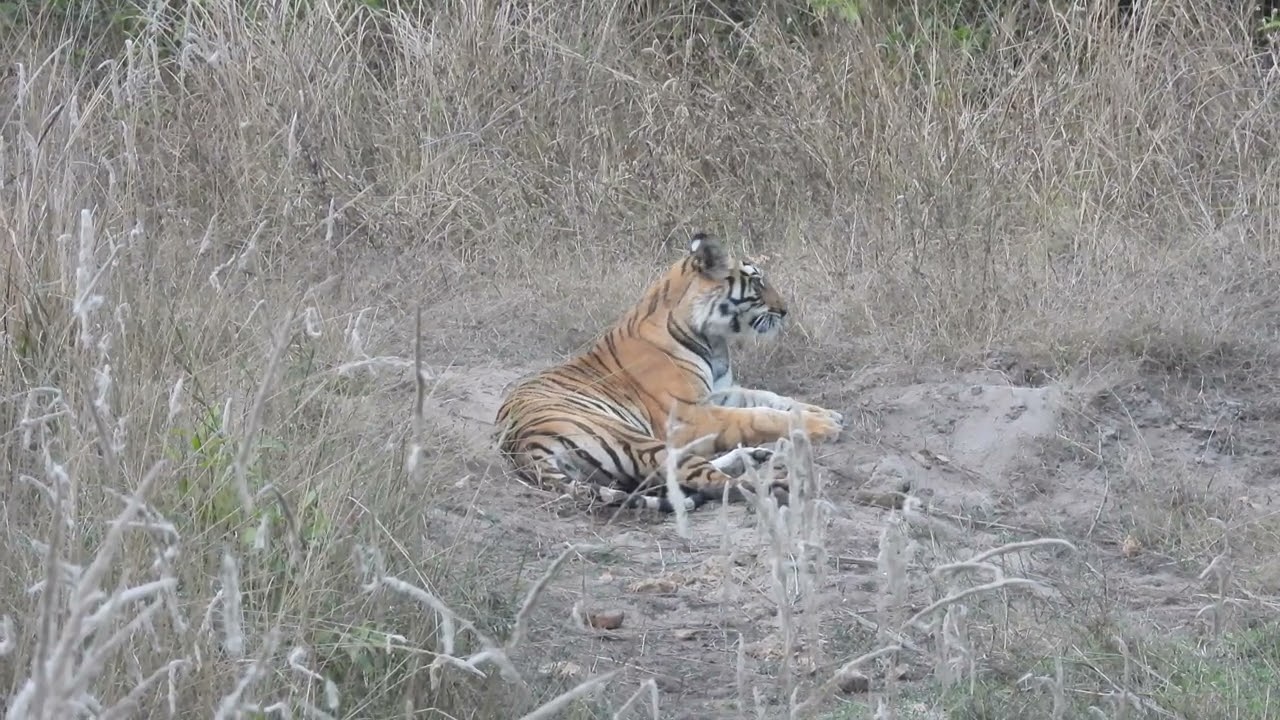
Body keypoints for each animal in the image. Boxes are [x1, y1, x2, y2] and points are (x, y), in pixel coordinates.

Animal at [492, 231, 845, 514]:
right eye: (757, 282)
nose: (785, 311)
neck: (713, 339)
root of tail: (521, 445)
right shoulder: (690, 415)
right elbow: (760, 415)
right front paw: (823, 426)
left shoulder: (718, 392)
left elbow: (770, 398)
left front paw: (825, 414)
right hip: (637, 439)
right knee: (711, 481)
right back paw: (779, 487)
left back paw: (754, 456)